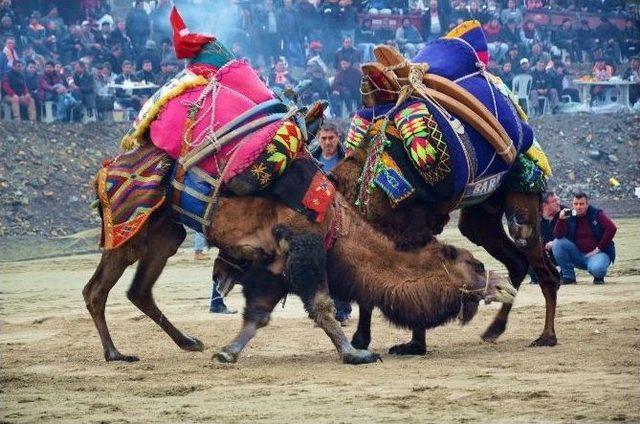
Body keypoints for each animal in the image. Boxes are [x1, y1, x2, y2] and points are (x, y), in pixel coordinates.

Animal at [328, 126, 564, 354]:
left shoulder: (411, 230)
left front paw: (413, 345)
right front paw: (363, 340)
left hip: (522, 197)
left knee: (540, 262)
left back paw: (547, 336)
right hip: (481, 215)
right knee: (516, 261)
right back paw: (494, 329)